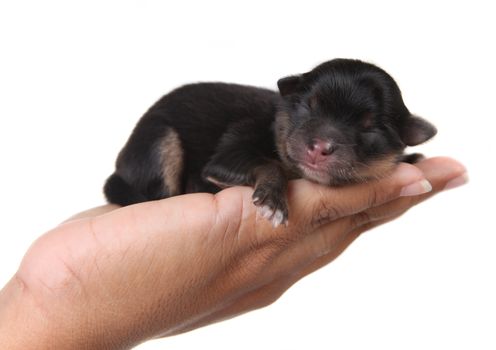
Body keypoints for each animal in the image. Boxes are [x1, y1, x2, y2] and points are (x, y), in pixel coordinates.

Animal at [103, 58, 434, 227]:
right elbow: (268, 163)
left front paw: (409, 158)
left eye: (370, 129)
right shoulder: (231, 150)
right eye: (309, 107)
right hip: (161, 140)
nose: (320, 147)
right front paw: (273, 200)